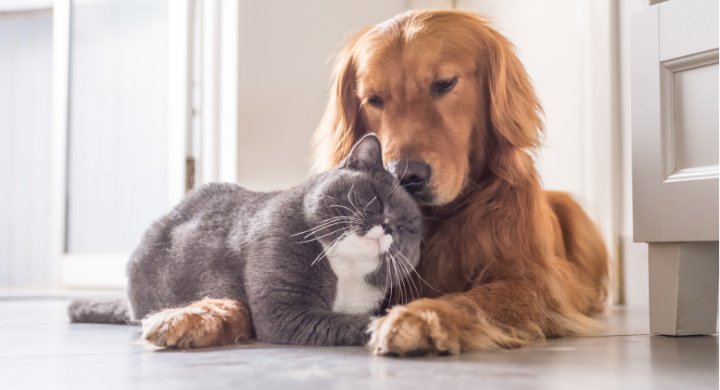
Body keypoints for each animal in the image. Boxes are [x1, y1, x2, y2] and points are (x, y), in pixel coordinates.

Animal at [104, 135, 420, 348]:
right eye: (376, 199)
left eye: (407, 228)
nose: (388, 227)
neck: (346, 270)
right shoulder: (286, 311)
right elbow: (355, 323)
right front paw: (396, 328)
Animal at [312, 9, 612, 356]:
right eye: (373, 99)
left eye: (444, 84)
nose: (406, 176)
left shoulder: (534, 283)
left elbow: (473, 299)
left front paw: (420, 317)